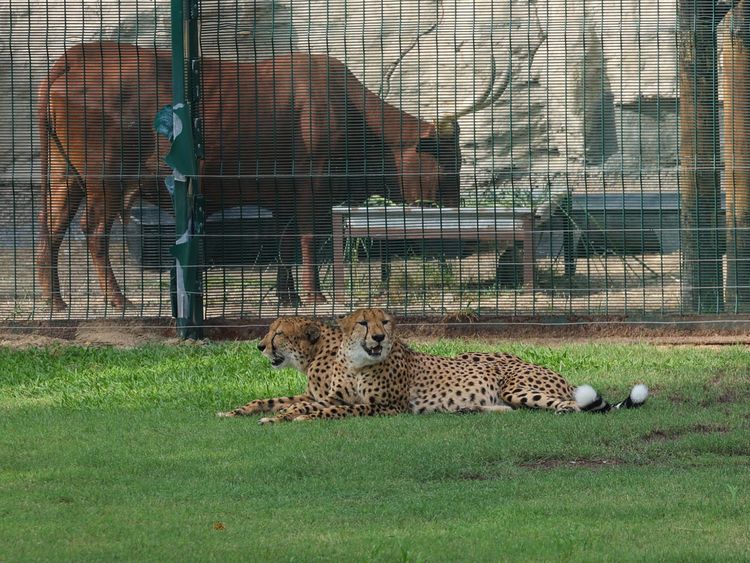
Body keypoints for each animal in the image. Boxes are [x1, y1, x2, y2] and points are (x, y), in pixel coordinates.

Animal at [258, 308, 648, 424]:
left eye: (278, 332)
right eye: (364, 324)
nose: (260, 345)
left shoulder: (384, 406)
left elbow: (326, 410)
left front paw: (286, 418)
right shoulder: (334, 396)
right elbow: (283, 400)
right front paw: (260, 412)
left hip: (515, 385)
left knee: (572, 405)